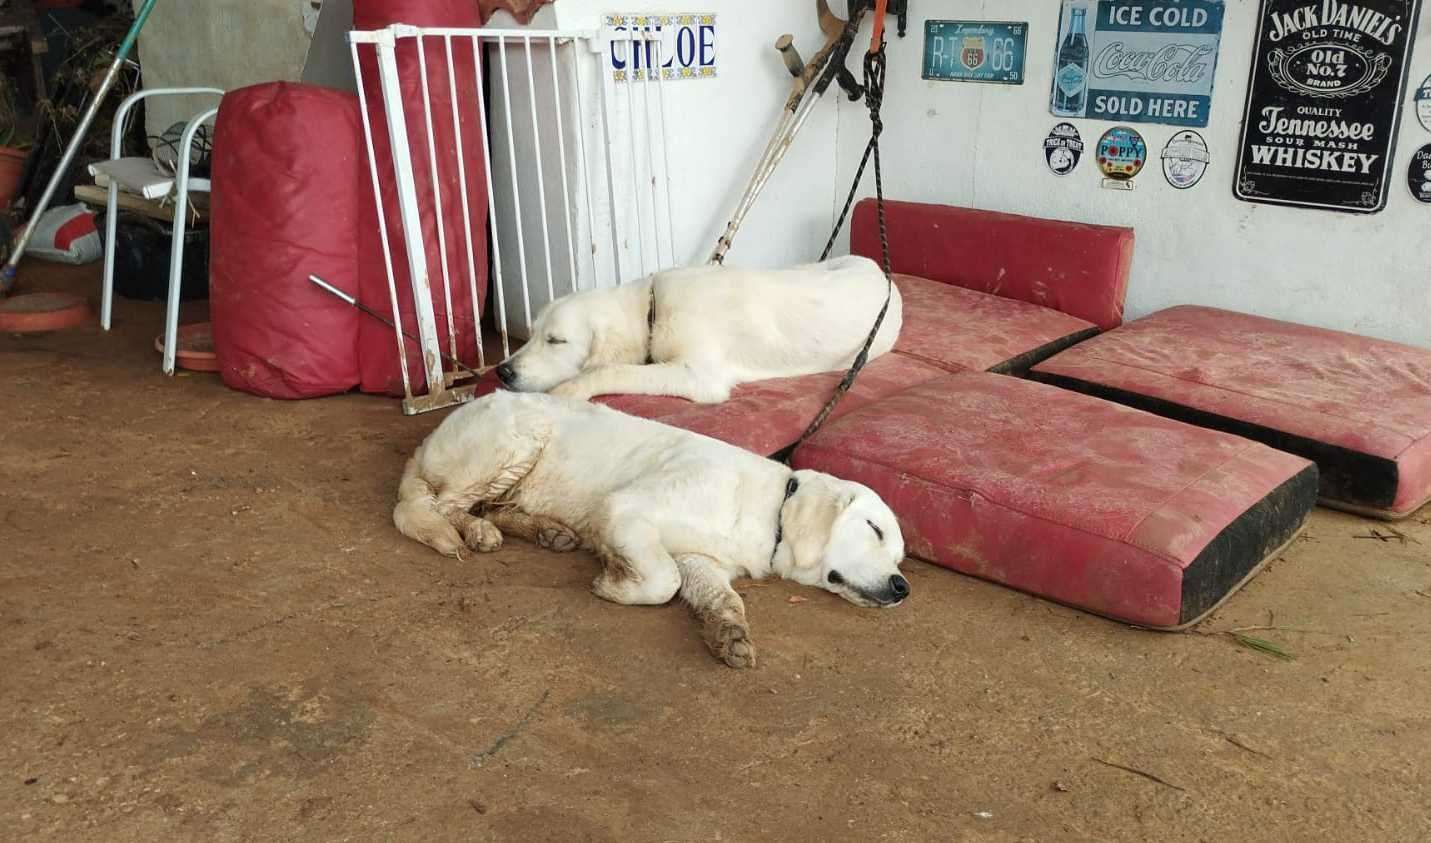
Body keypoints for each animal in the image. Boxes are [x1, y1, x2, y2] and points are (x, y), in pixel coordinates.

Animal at [394, 392, 904, 666]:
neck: (771, 512)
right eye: (874, 529)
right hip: (517, 440)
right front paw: (613, 582)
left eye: (899, 556)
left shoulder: (701, 559)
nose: (904, 587)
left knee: (488, 505)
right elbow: (663, 581)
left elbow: (722, 598)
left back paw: (544, 531)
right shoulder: (625, 509)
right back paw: (477, 532)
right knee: (441, 505)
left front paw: (730, 634)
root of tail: (431, 435)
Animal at [492, 254, 892, 403]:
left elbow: (613, 370)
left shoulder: (698, 375)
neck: (653, 308)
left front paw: (569, 389)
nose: (502, 371)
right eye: (531, 334)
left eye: (556, 340)